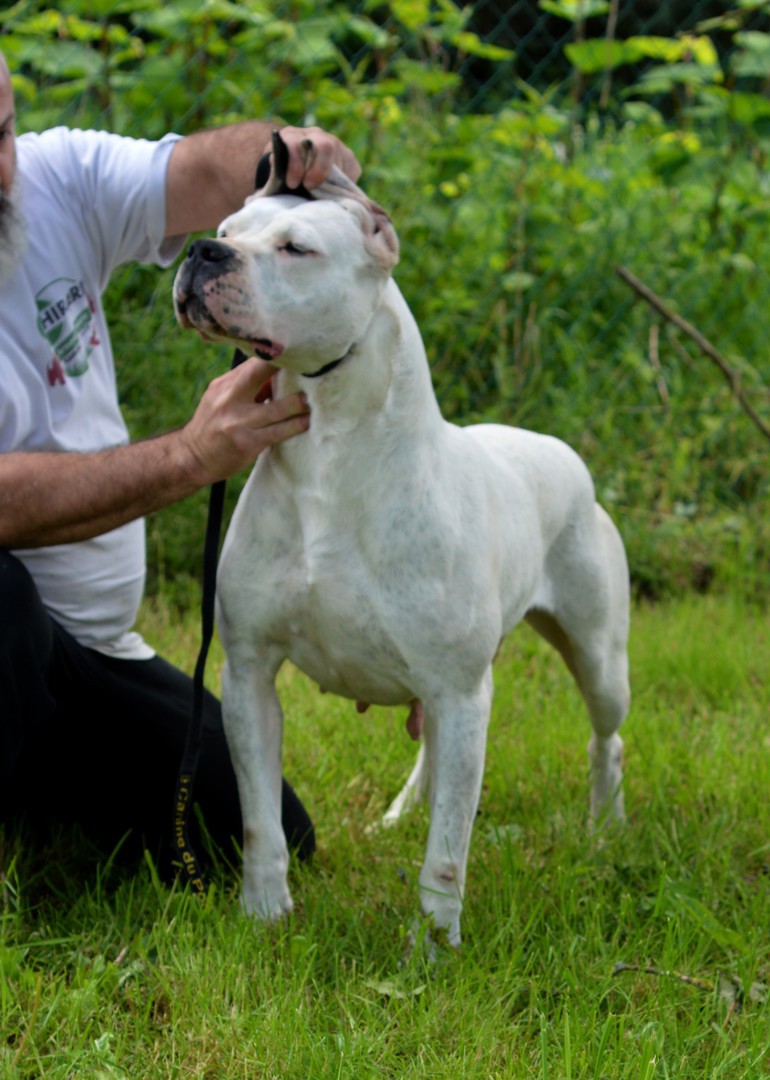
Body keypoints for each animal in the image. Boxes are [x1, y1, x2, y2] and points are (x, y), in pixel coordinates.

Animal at [173, 134, 631, 946]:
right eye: (227, 230)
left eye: (296, 247)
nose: (202, 252)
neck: (329, 453)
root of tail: (559, 452)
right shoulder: (250, 673)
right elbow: (260, 820)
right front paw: (264, 914)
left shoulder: (457, 686)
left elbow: (448, 851)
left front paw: (436, 947)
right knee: (438, 758)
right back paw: (400, 813)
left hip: (597, 658)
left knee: (605, 738)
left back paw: (604, 827)